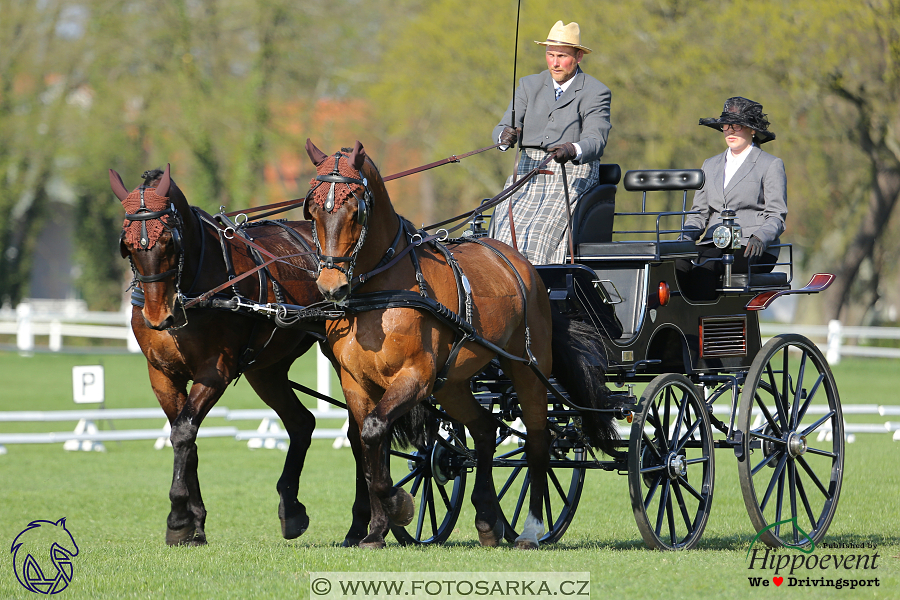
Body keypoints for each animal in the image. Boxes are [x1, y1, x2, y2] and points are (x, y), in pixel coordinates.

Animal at [110, 164, 348, 544]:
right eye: (128, 245)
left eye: (168, 241)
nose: (160, 317)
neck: (192, 291)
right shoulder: (162, 374)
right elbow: (184, 437)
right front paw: (194, 522)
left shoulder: (214, 372)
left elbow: (183, 433)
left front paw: (177, 519)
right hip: (266, 371)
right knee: (301, 423)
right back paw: (292, 509)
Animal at [302, 139, 620, 548]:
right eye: (311, 210)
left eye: (356, 209)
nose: (331, 287)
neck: (379, 292)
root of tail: (527, 266)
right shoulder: (356, 383)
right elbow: (368, 443)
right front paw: (376, 529)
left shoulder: (416, 377)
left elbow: (373, 433)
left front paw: (399, 507)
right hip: (451, 385)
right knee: (485, 428)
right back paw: (486, 519)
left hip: (528, 370)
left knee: (538, 440)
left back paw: (532, 528)